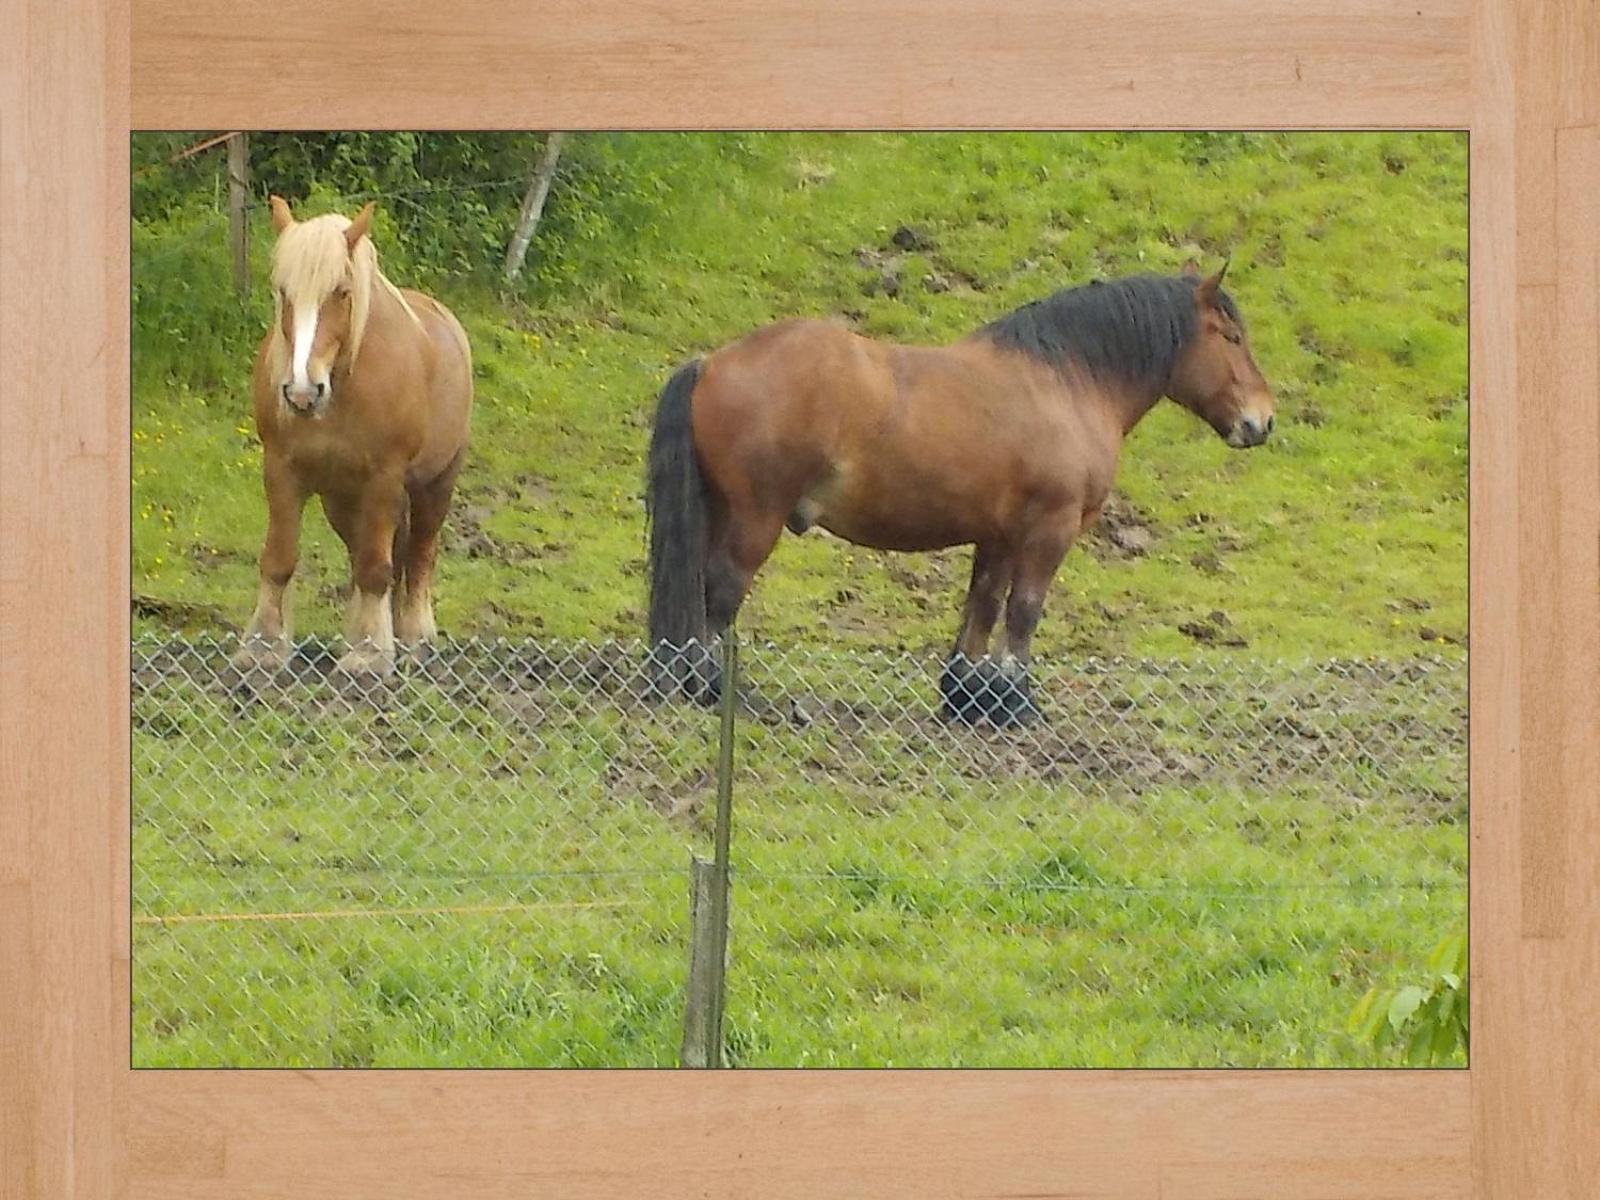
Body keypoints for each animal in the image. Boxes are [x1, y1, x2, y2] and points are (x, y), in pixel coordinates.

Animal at [233, 197, 467, 678]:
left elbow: (377, 568)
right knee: (370, 554)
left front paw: (369, 654)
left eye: (341, 291)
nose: (302, 391)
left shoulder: (384, 477)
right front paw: (264, 646)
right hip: (341, 499)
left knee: (418, 557)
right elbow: (279, 560)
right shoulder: (281, 470)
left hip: (436, 484)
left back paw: (413, 639)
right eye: (283, 291)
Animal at [649, 267, 1273, 729]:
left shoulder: (998, 535)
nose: (1262, 421)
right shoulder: (1048, 530)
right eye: (1232, 338)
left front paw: (968, 699)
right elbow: (1023, 612)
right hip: (757, 519)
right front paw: (1017, 705)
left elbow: (982, 608)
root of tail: (713, 362)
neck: (1063, 382)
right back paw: (718, 690)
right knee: (720, 592)